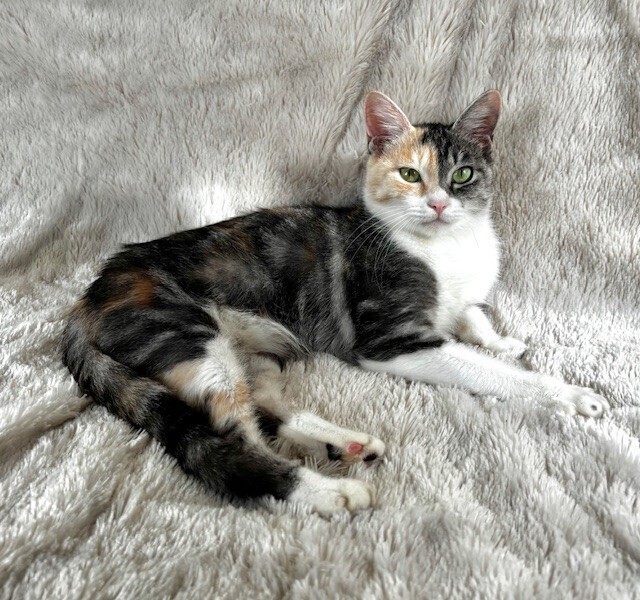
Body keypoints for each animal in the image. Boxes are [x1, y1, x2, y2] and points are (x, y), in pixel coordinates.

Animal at [61, 90, 608, 514]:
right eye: (410, 175)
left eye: (463, 175)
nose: (438, 204)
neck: (448, 247)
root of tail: (89, 295)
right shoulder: (390, 337)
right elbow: (482, 369)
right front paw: (565, 393)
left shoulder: (460, 298)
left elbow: (472, 316)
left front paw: (501, 340)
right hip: (188, 334)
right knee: (232, 436)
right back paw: (325, 491)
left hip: (250, 350)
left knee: (265, 407)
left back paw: (342, 443)